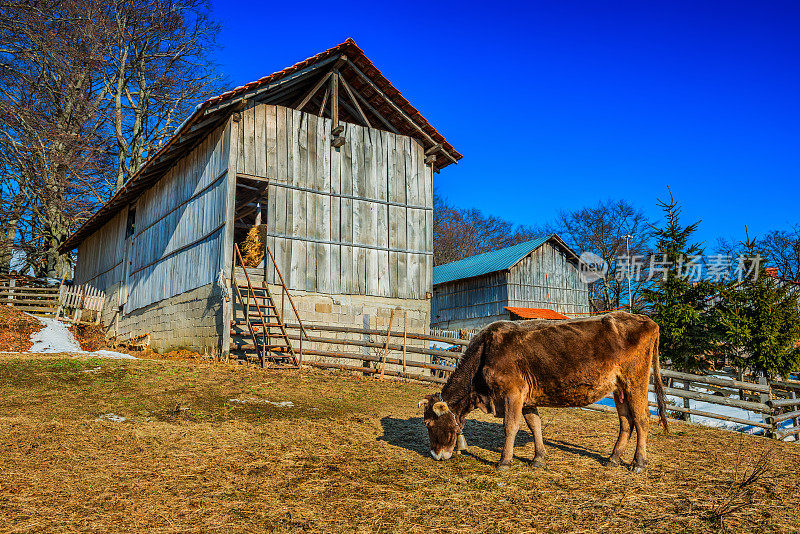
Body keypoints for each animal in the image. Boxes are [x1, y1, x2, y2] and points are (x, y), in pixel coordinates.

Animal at [418, 312, 668, 476]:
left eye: (429, 424)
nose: (435, 455)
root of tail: (647, 320)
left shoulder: (512, 392)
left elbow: (510, 426)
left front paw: (504, 461)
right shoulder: (526, 397)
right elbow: (534, 424)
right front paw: (538, 458)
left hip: (635, 381)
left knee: (642, 419)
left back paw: (639, 462)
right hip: (619, 388)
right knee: (626, 422)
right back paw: (613, 458)